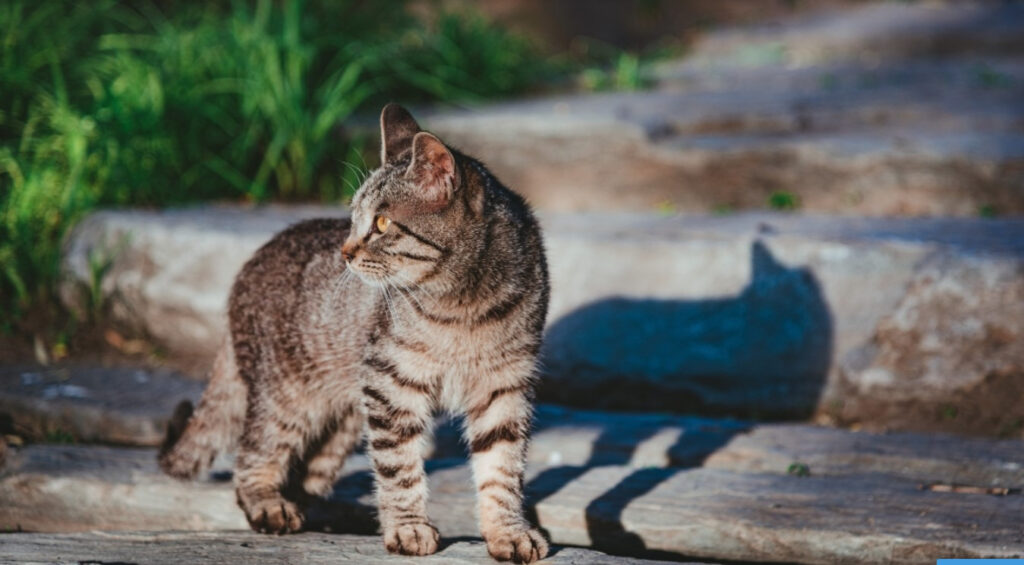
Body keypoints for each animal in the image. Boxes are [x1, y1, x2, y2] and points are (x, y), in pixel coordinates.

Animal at [155, 102, 548, 560]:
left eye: (382, 223)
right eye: (355, 219)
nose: (344, 252)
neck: (463, 303)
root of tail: (251, 262)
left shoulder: (505, 386)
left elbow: (502, 469)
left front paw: (508, 531)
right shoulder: (391, 384)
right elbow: (399, 467)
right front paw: (408, 527)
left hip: (340, 422)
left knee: (308, 474)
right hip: (286, 398)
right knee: (253, 455)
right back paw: (270, 505)